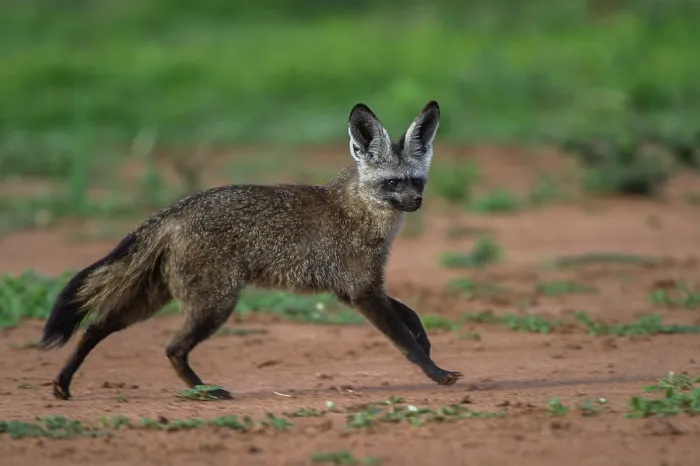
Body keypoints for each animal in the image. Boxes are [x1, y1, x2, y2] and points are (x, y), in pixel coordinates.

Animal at [41, 100, 463, 400]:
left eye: (416, 181)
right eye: (392, 183)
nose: (415, 202)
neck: (360, 211)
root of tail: (175, 209)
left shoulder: (358, 288)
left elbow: (413, 319)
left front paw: (430, 348)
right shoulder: (361, 291)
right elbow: (405, 340)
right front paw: (436, 372)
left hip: (153, 299)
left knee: (95, 327)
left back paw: (63, 383)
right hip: (214, 305)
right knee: (172, 347)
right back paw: (206, 392)